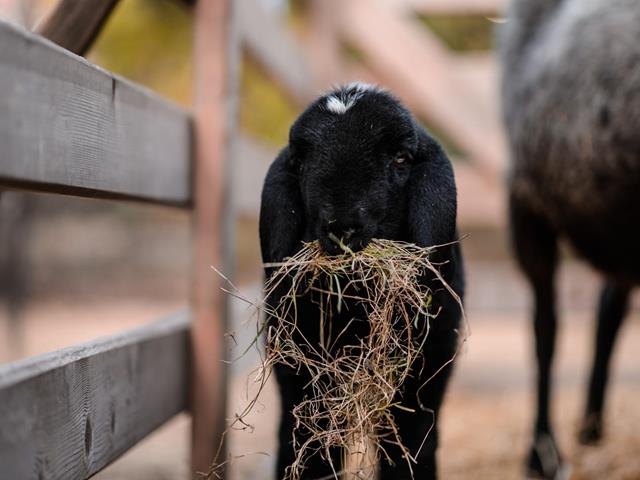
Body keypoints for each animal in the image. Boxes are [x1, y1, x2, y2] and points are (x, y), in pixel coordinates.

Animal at [260, 84, 464, 478]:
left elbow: (412, 444)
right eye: (301, 163)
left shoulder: (426, 367)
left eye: (401, 159)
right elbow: (306, 443)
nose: (342, 228)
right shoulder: (298, 366)